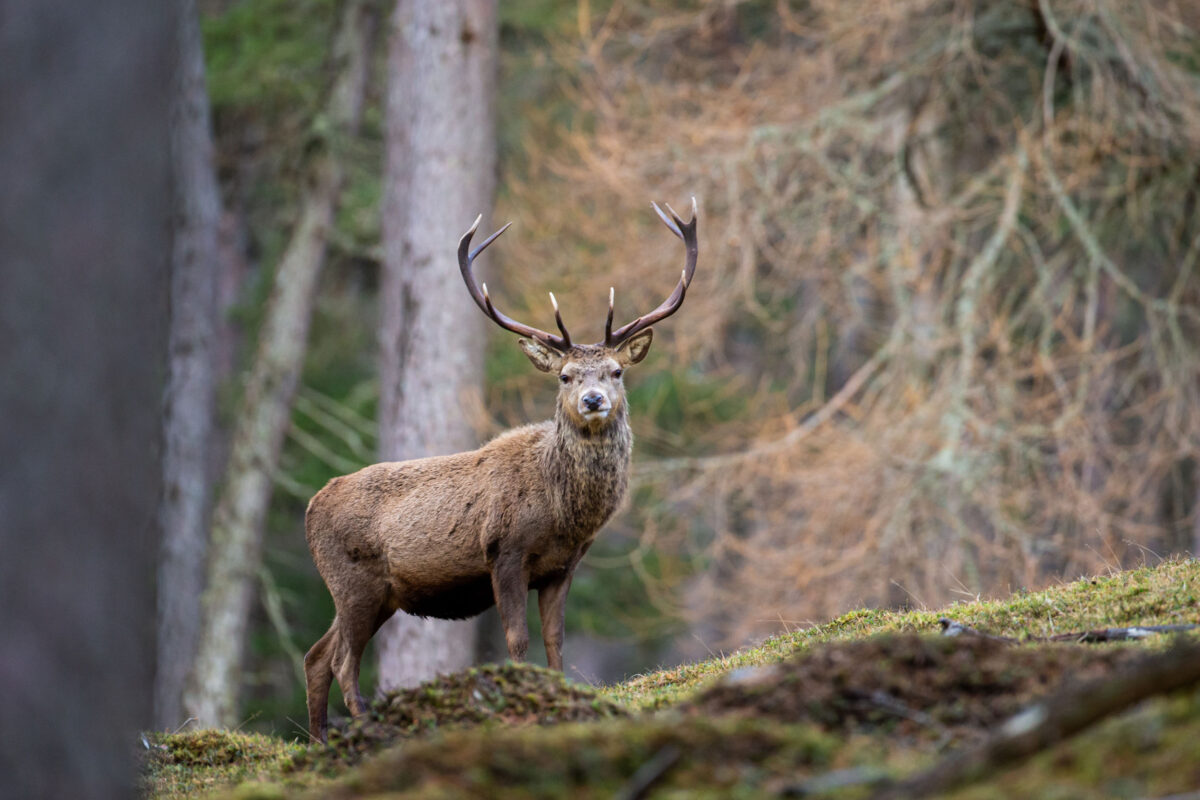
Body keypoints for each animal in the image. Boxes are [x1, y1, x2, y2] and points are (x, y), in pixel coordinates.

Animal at [300, 199, 700, 743]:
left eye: (616, 372)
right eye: (565, 376)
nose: (593, 400)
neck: (563, 512)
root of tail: (311, 506)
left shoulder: (563, 566)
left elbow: (555, 640)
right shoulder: (504, 552)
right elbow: (517, 640)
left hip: (376, 593)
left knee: (316, 655)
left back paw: (319, 741)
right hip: (353, 579)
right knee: (342, 659)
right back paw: (366, 731)